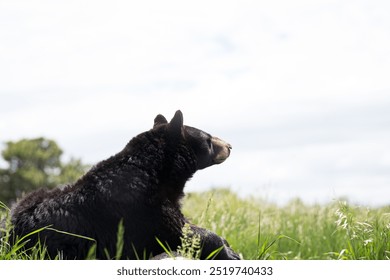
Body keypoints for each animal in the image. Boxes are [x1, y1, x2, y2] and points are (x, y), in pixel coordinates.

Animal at [9, 110, 239, 260]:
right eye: (208, 139)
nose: (229, 146)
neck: (155, 171)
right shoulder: (143, 208)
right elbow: (180, 232)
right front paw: (228, 251)